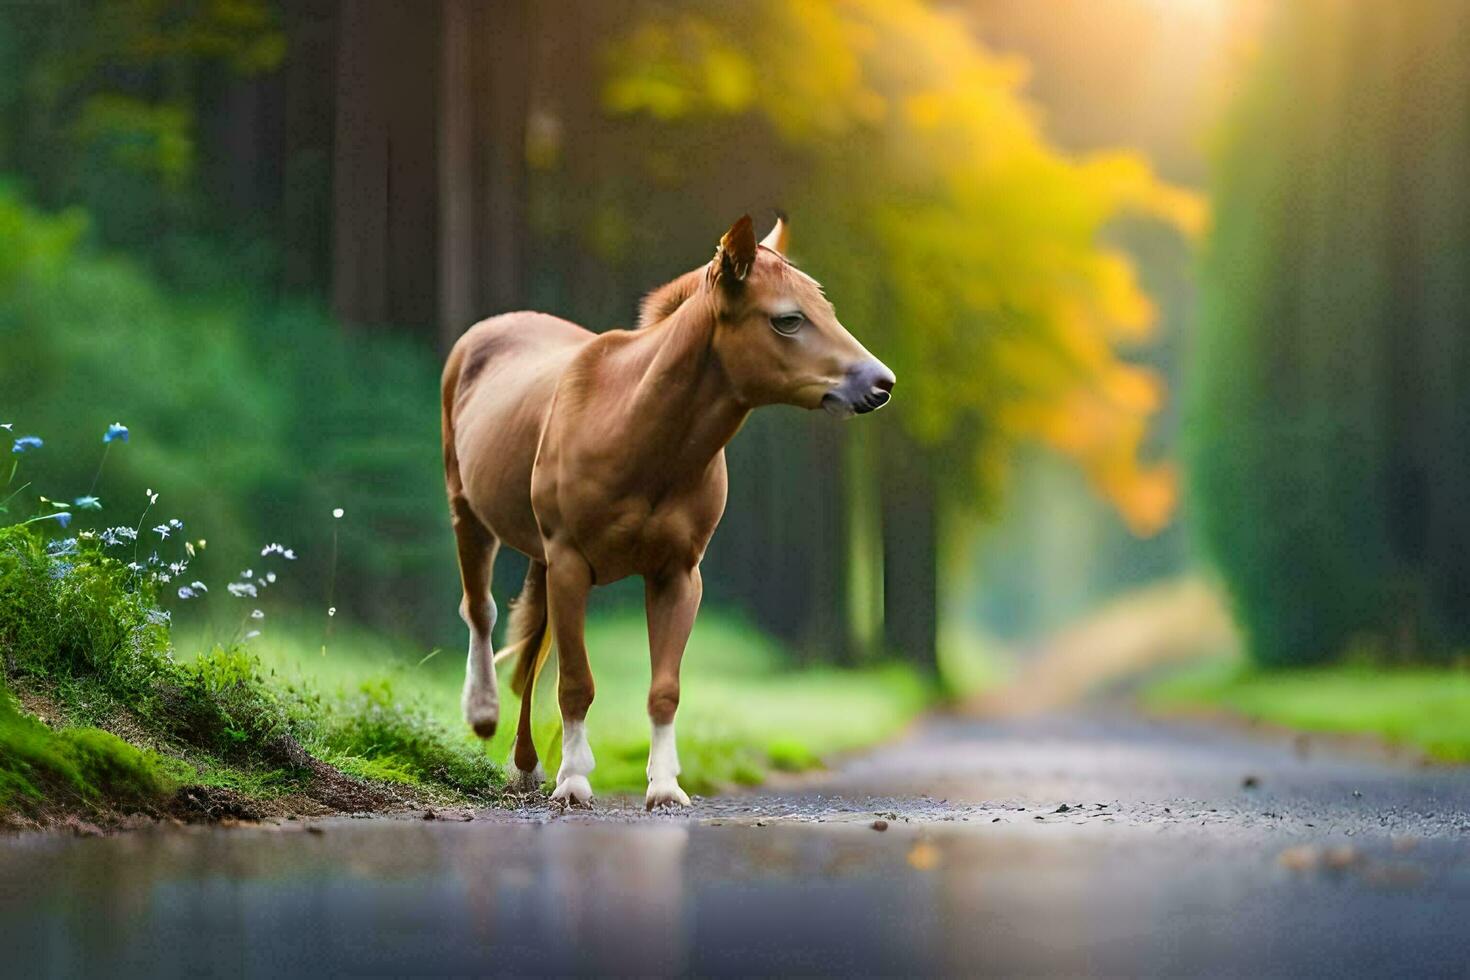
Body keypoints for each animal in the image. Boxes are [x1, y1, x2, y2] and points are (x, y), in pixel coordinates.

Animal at [441, 214, 887, 805]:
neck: (633, 427)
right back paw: (484, 714)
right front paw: (575, 779)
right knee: (481, 610)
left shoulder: (676, 574)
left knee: (534, 645)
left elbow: (664, 689)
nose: (881, 383)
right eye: (789, 320)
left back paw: (526, 764)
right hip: (468, 513)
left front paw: (665, 786)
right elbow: (576, 682)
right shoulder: (570, 564)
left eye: (827, 310)